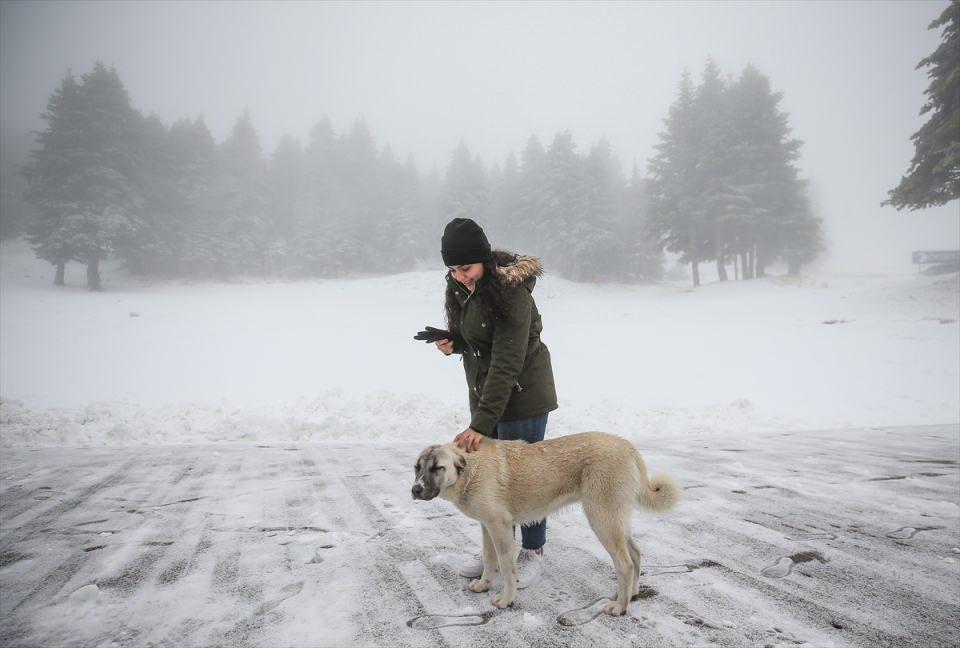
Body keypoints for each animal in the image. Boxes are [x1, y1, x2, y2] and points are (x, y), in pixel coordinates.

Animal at [412, 432, 684, 616]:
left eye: (437, 467)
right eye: (417, 467)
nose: (415, 490)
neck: (471, 471)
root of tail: (628, 446)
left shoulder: (500, 527)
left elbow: (507, 567)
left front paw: (507, 599)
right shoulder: (486, 526)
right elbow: (489, 560)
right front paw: (483, 584)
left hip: (602, 519)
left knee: (625, 564)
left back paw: (620, 607)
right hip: (615, 521)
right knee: (636, 554)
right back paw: (633, 592)